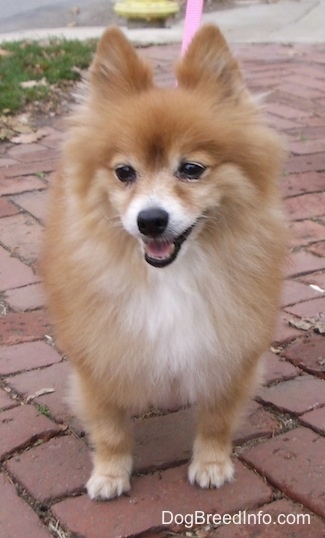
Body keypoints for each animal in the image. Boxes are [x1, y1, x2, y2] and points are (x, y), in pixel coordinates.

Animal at [41, 25, 286, 498]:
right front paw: (109, 473)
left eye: (191, 169)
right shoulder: (98, 355)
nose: (150, 219)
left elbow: (216, 420)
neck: (171, 277)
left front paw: (211, 463)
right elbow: (109, 428)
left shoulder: (229, 352)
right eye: (124, 172)